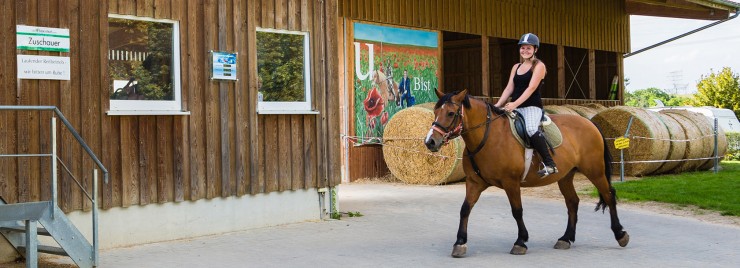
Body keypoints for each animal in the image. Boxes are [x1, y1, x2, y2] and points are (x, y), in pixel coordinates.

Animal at [424, 89, 628, 258]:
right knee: (572, 202)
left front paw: (520, 241)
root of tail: (589, 122)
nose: (430, 141)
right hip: (565, 176)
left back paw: (620, 234)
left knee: (609, 196)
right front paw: (460, 242)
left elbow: (517, 211)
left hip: (595, 171)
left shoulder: (511, 183)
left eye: (450, 113)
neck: (488, 137)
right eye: (435, 111)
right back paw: (565, 238)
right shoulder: (475, 182)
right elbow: (465, 209)